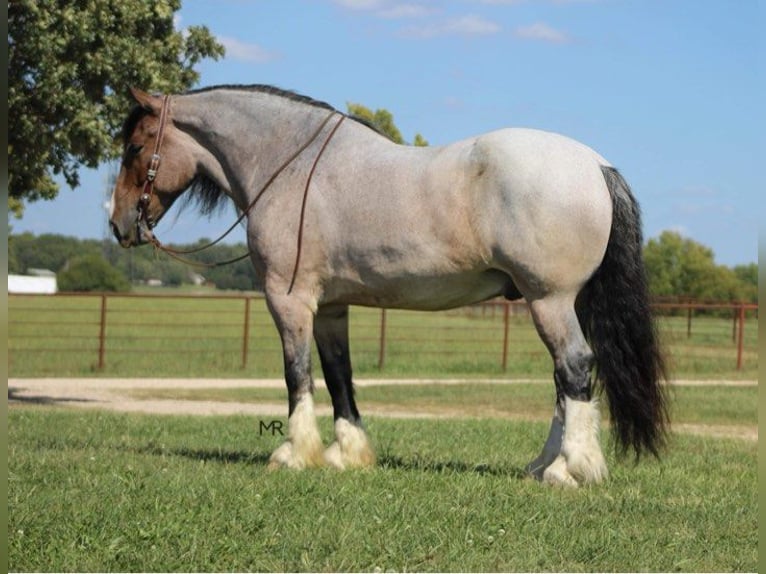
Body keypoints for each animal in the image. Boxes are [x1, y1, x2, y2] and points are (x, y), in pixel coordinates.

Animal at [111, 85, 668, 488]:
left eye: (136, 146)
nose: (119, 225)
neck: (290, 166)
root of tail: (595, 165)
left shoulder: (289, 301)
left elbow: (297, 375)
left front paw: (294, 454)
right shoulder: (330, 307)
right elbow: (339, 375)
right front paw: (347, 453)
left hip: (549, 300)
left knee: (573, 367)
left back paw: (570, 468)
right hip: (547, 303)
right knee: (561, 379)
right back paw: (542, 465)